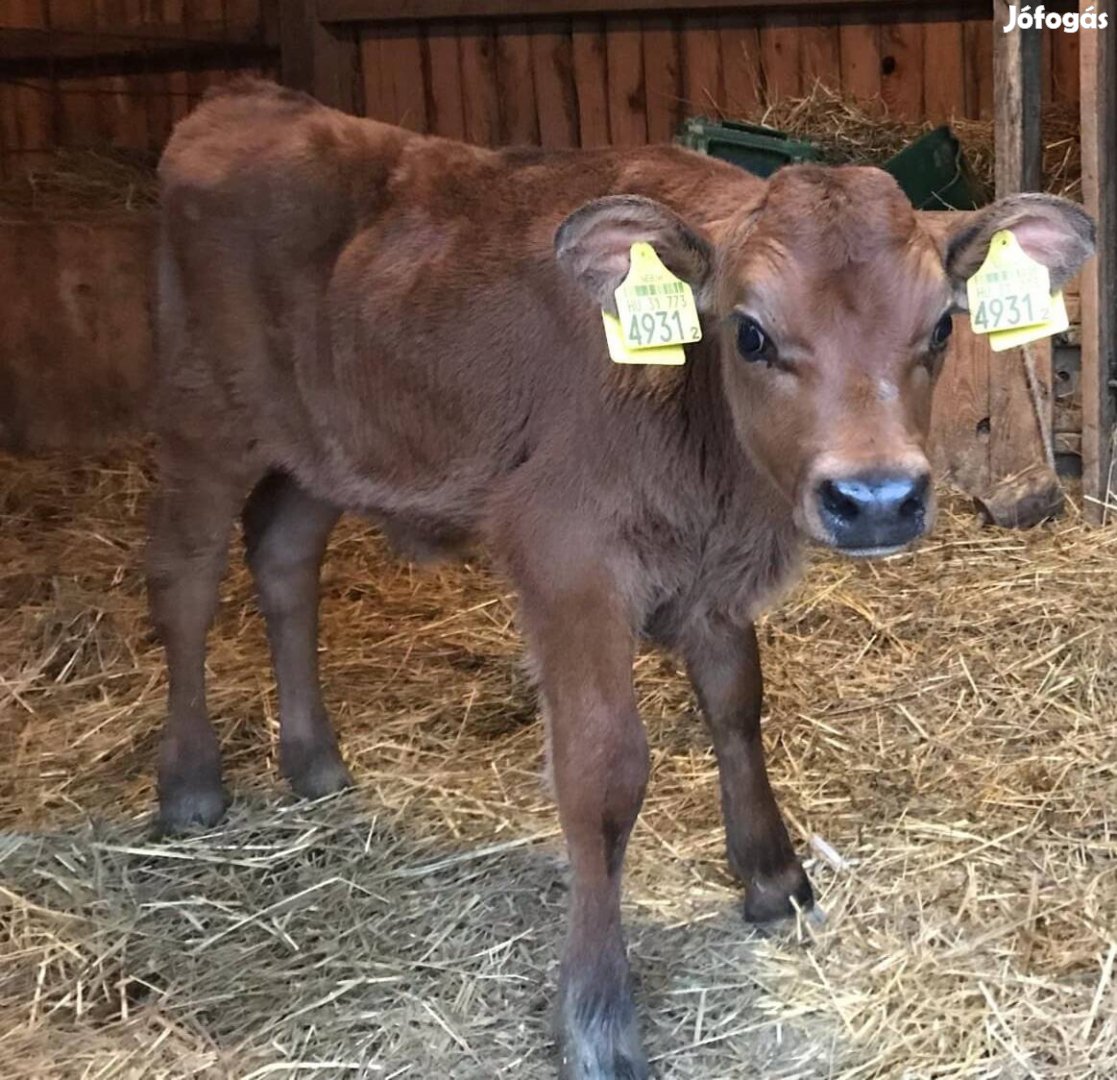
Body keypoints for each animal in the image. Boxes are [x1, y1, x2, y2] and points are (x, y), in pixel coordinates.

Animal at [146, 80, 1090, 1076]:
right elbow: (603, 775)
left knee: (284, 556)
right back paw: (191, 784)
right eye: (750, 334)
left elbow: (736, 705)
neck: (713, 465)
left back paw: (315, 761)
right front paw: (597, 1016)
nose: (875, 498)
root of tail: (244, 99)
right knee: (185, 580)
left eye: (941, 326)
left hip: (322, 448)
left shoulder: (709, 571)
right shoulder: (567, 557)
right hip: (202, 418)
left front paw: (772, 876)